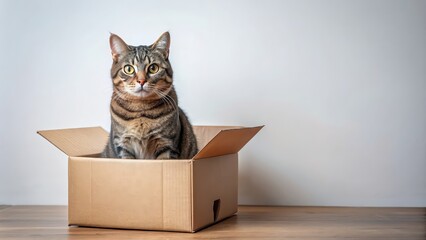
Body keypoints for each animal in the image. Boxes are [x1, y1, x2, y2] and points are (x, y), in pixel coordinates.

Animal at [101, 31, 198, 159]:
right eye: (129, 69)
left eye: (153, 68)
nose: (141, 81)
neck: (141, 109)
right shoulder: (123, 146)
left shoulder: (167, 144)